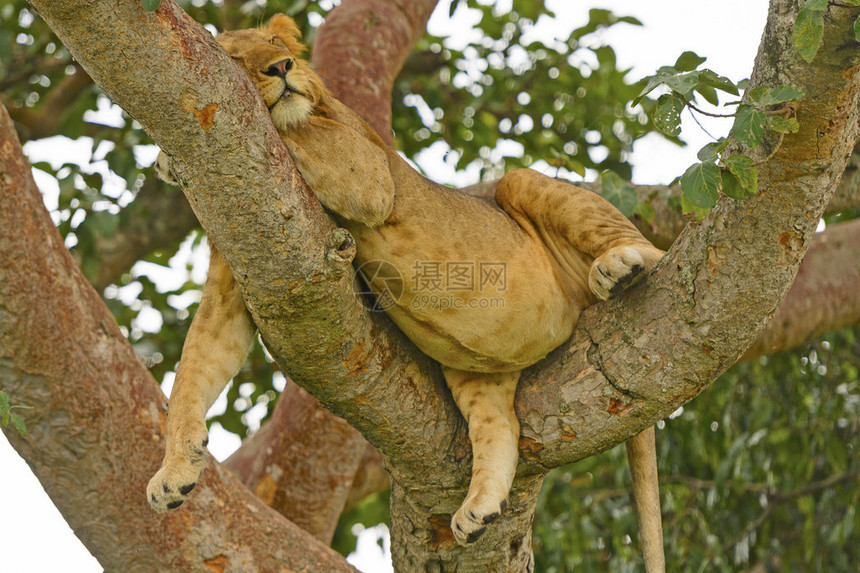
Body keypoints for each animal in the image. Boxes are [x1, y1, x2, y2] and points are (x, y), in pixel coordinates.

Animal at [148, 13, 668, 568]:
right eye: (236, 59)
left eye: (274, 43)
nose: (282, 67)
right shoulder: (240, 263)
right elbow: (196, 367)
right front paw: (173, 473)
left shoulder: (367, 171)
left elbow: (298, 130)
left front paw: (164, 158)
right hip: (475, 364)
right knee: (499, 428)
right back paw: (478, 510)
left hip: (522, 185)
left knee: (648, 247)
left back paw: (621, 267)